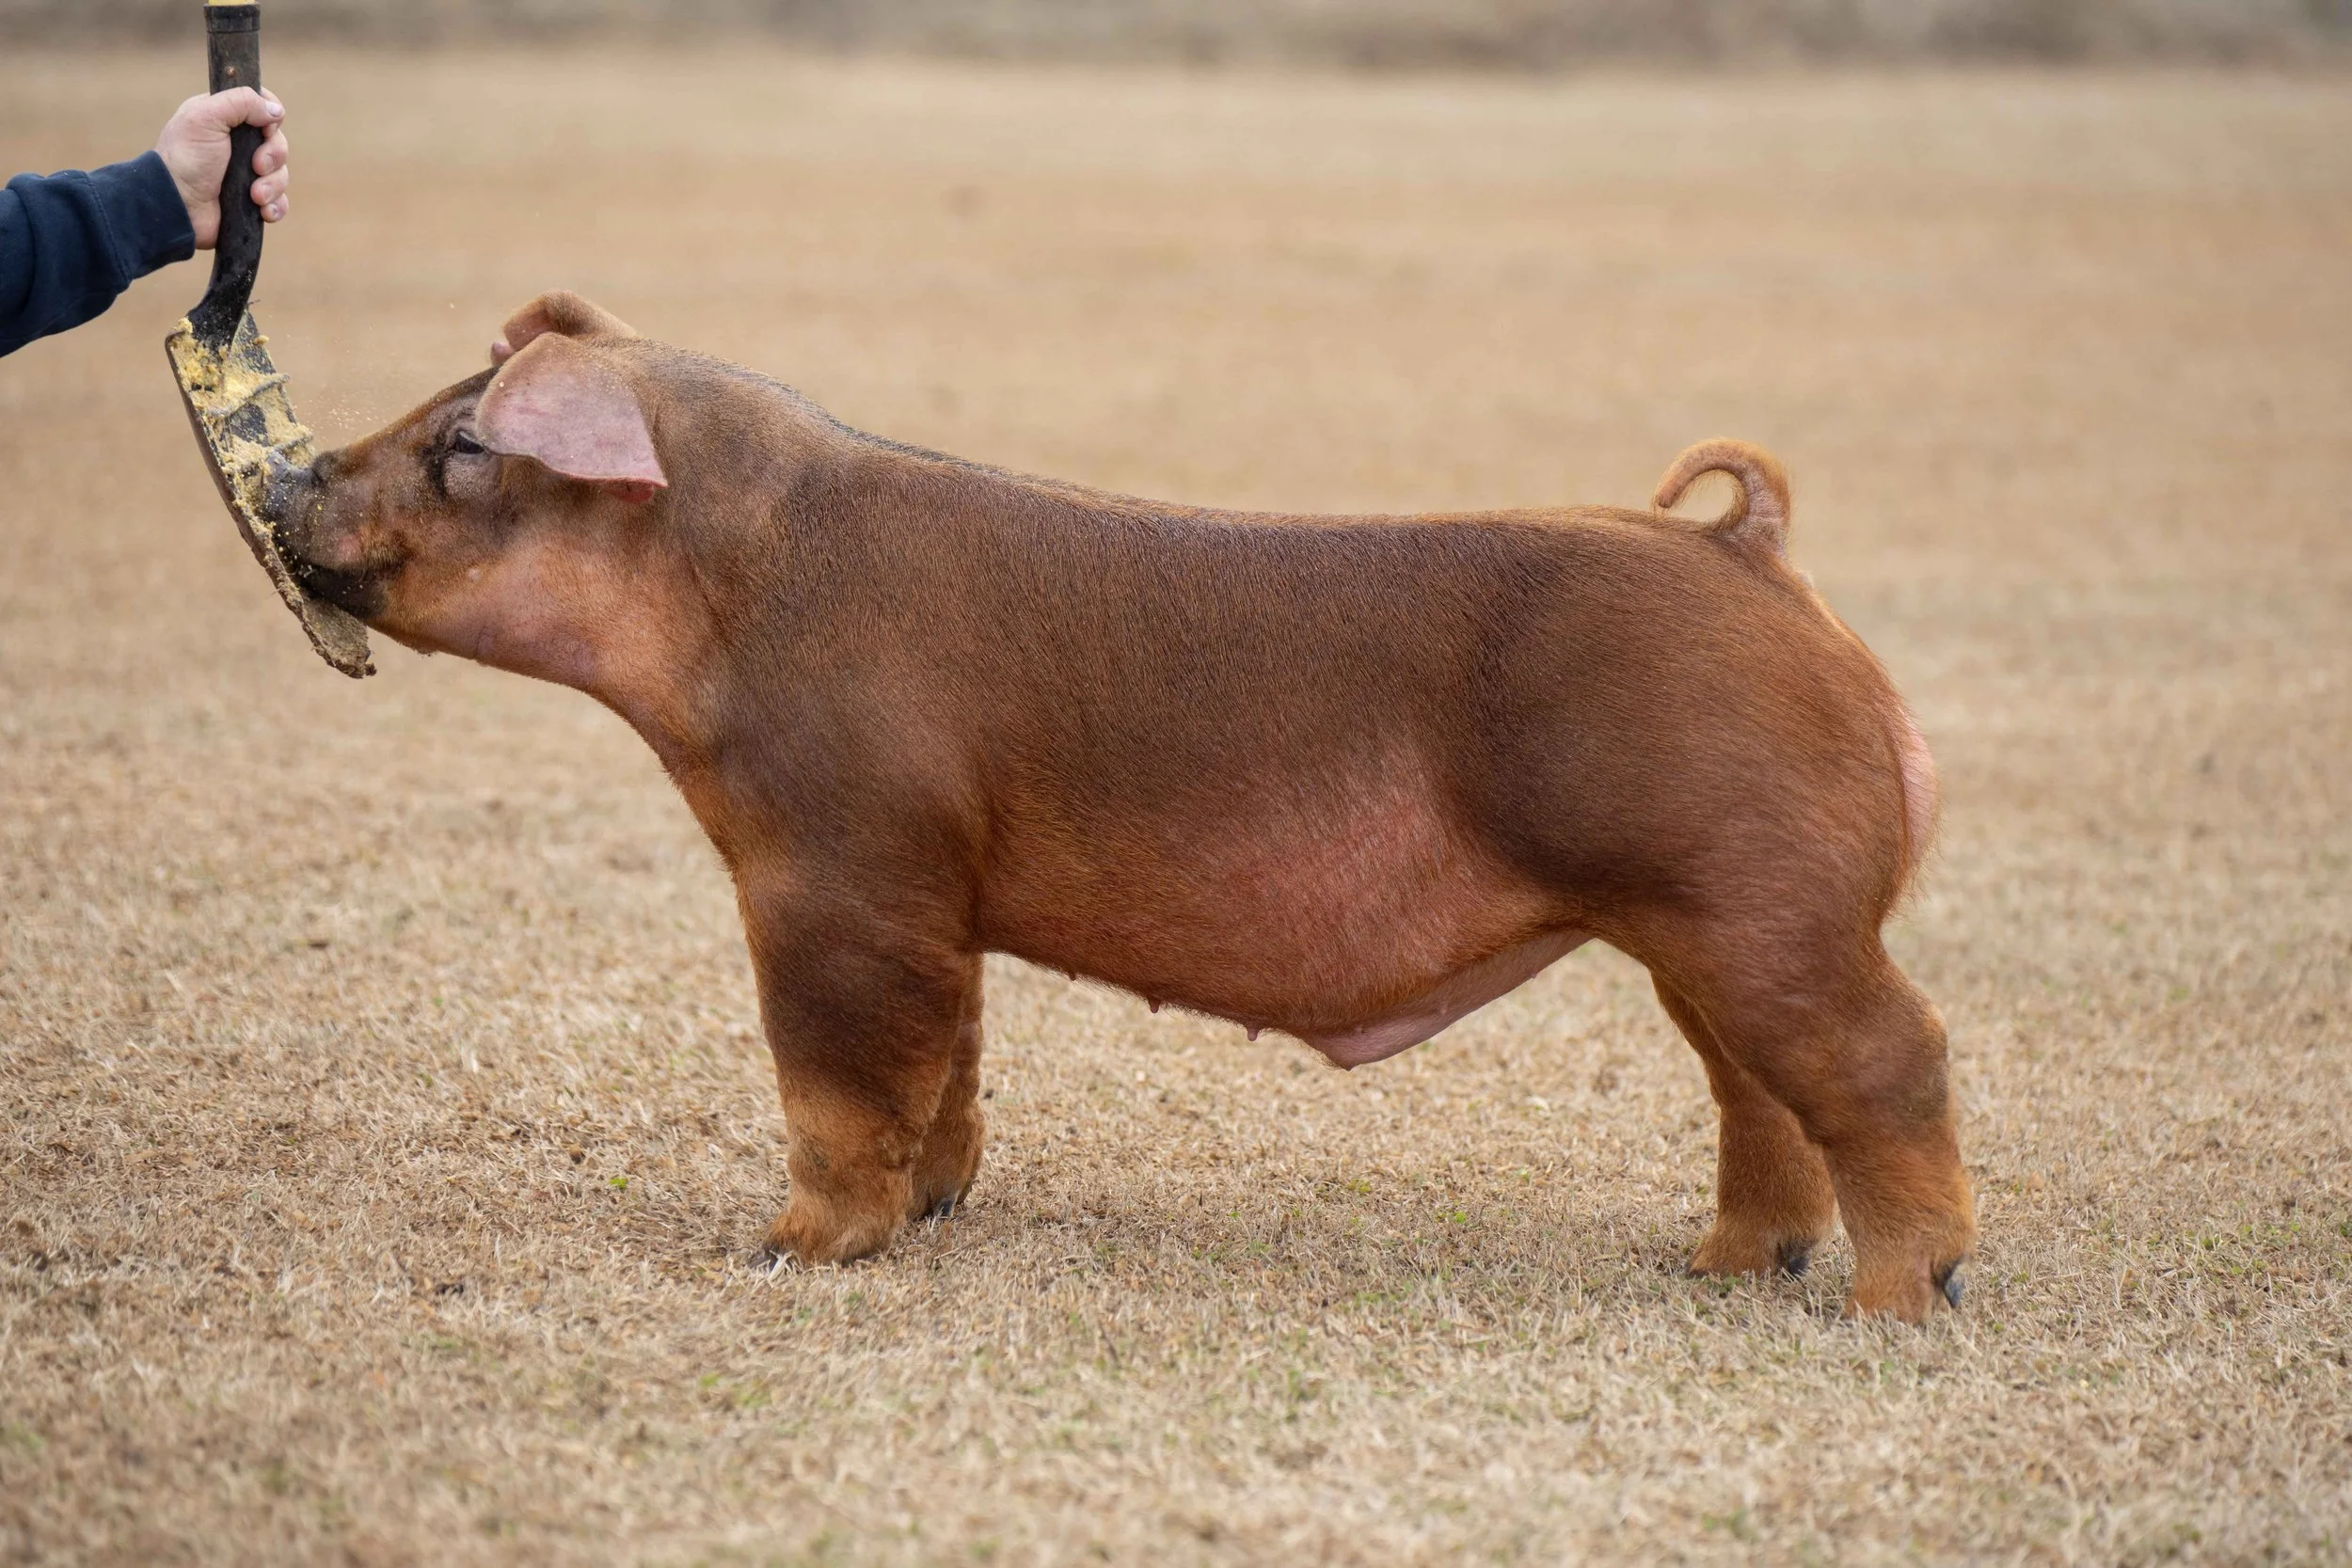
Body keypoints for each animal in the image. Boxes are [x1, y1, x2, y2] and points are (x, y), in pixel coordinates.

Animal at [267, 291, 1974, 1321]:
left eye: (465, 442)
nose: (288, 479)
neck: (732, 598)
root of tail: (1748, 552)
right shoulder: (933, 897)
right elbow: (948, 1055)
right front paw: (936, 1208)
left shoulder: (837, 869)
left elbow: (837, 1075)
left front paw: (790, 1249)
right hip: (1705, 927)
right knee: (1761, 1092)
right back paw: (1726, 1268)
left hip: (1759, 898)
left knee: (1889, 1056)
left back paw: (1896, 1299)